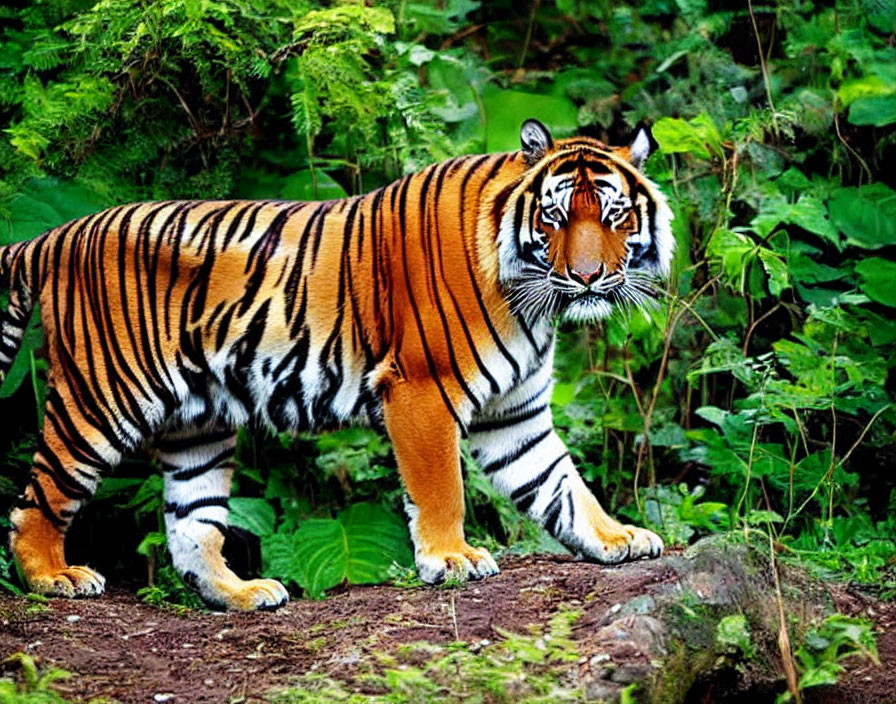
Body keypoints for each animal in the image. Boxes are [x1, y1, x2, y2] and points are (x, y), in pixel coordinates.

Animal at [0, 119, 672, 612]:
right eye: (554, 217)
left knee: (192, 528)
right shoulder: (422, 388)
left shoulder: (517, 413)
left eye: (613, 216)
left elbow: (562, 485)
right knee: (35, 500)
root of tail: (53, 235)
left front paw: (615, 537)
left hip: (199, 424)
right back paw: (54, 578)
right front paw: (450, 558)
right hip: (102, 397)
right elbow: (441, 487)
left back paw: (240, 594)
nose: (587, 277)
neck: (533, 301)